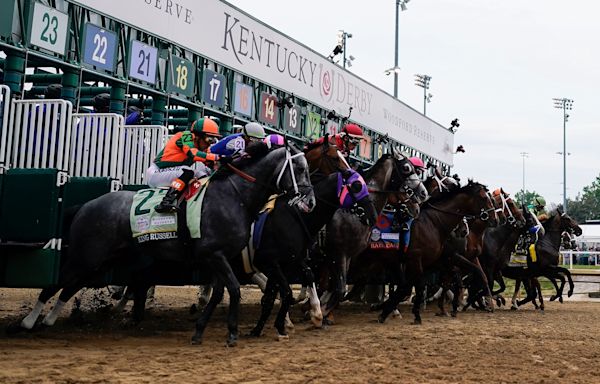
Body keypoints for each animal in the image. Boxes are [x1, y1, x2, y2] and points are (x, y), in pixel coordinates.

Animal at [19, 142, 314, 346]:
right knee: (57, 282)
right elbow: (233, 290)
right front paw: (231, 332)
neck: (235, 196)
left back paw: (49, 318)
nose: (309, 202)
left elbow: (220, 293)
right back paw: (30, 321)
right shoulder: (215, 255)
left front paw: (199, 330)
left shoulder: (220, 257)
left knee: (72, 284)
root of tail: (85, 205)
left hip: (101, 259)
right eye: (300, 169)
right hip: (87, 255)